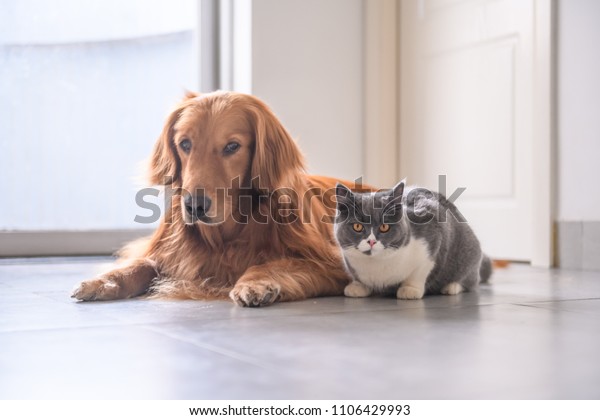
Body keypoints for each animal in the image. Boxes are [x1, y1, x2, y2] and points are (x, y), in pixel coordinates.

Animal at [72, 92, 368, 306]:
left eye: (232, 146)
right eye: (185, 144)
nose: (194, 205)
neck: (225, 236)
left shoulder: (328, 261)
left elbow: (275, 262)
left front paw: (256, 283)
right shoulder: (169, 253)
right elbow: (140, 264)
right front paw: (102, 281)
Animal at [332, 180, 492, 298]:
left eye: (384, 227)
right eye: (357, 226)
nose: (371, 241)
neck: (376, 264)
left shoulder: (433, 236)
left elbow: (419, 271)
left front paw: (410, 290)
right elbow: (357, 277)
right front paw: (357, 286)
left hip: (469, 254)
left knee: (471, 281)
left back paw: (451, 287)